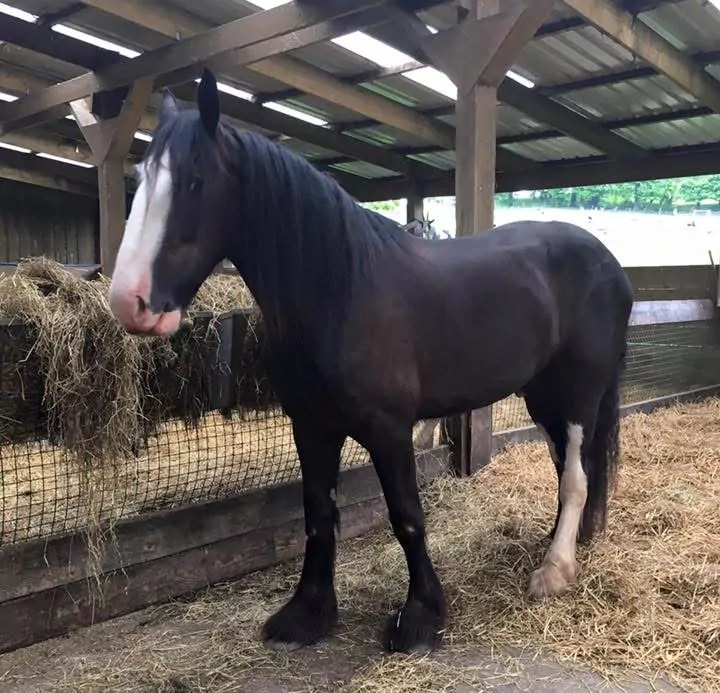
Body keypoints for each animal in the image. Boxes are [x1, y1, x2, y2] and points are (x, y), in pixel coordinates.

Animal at [108, 69, 633, 655]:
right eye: (140, 179)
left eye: (195, 181)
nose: (129, 302)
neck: (340, 291)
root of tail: (610, 262)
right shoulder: (311, 425)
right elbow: (318, 514)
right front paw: (307, 613)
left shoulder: (389, 429)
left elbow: (407, 517)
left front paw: (420, 618)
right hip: (542, 394)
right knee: (569, 466)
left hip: (580, 393)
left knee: (577, 475)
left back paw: (554, 570)